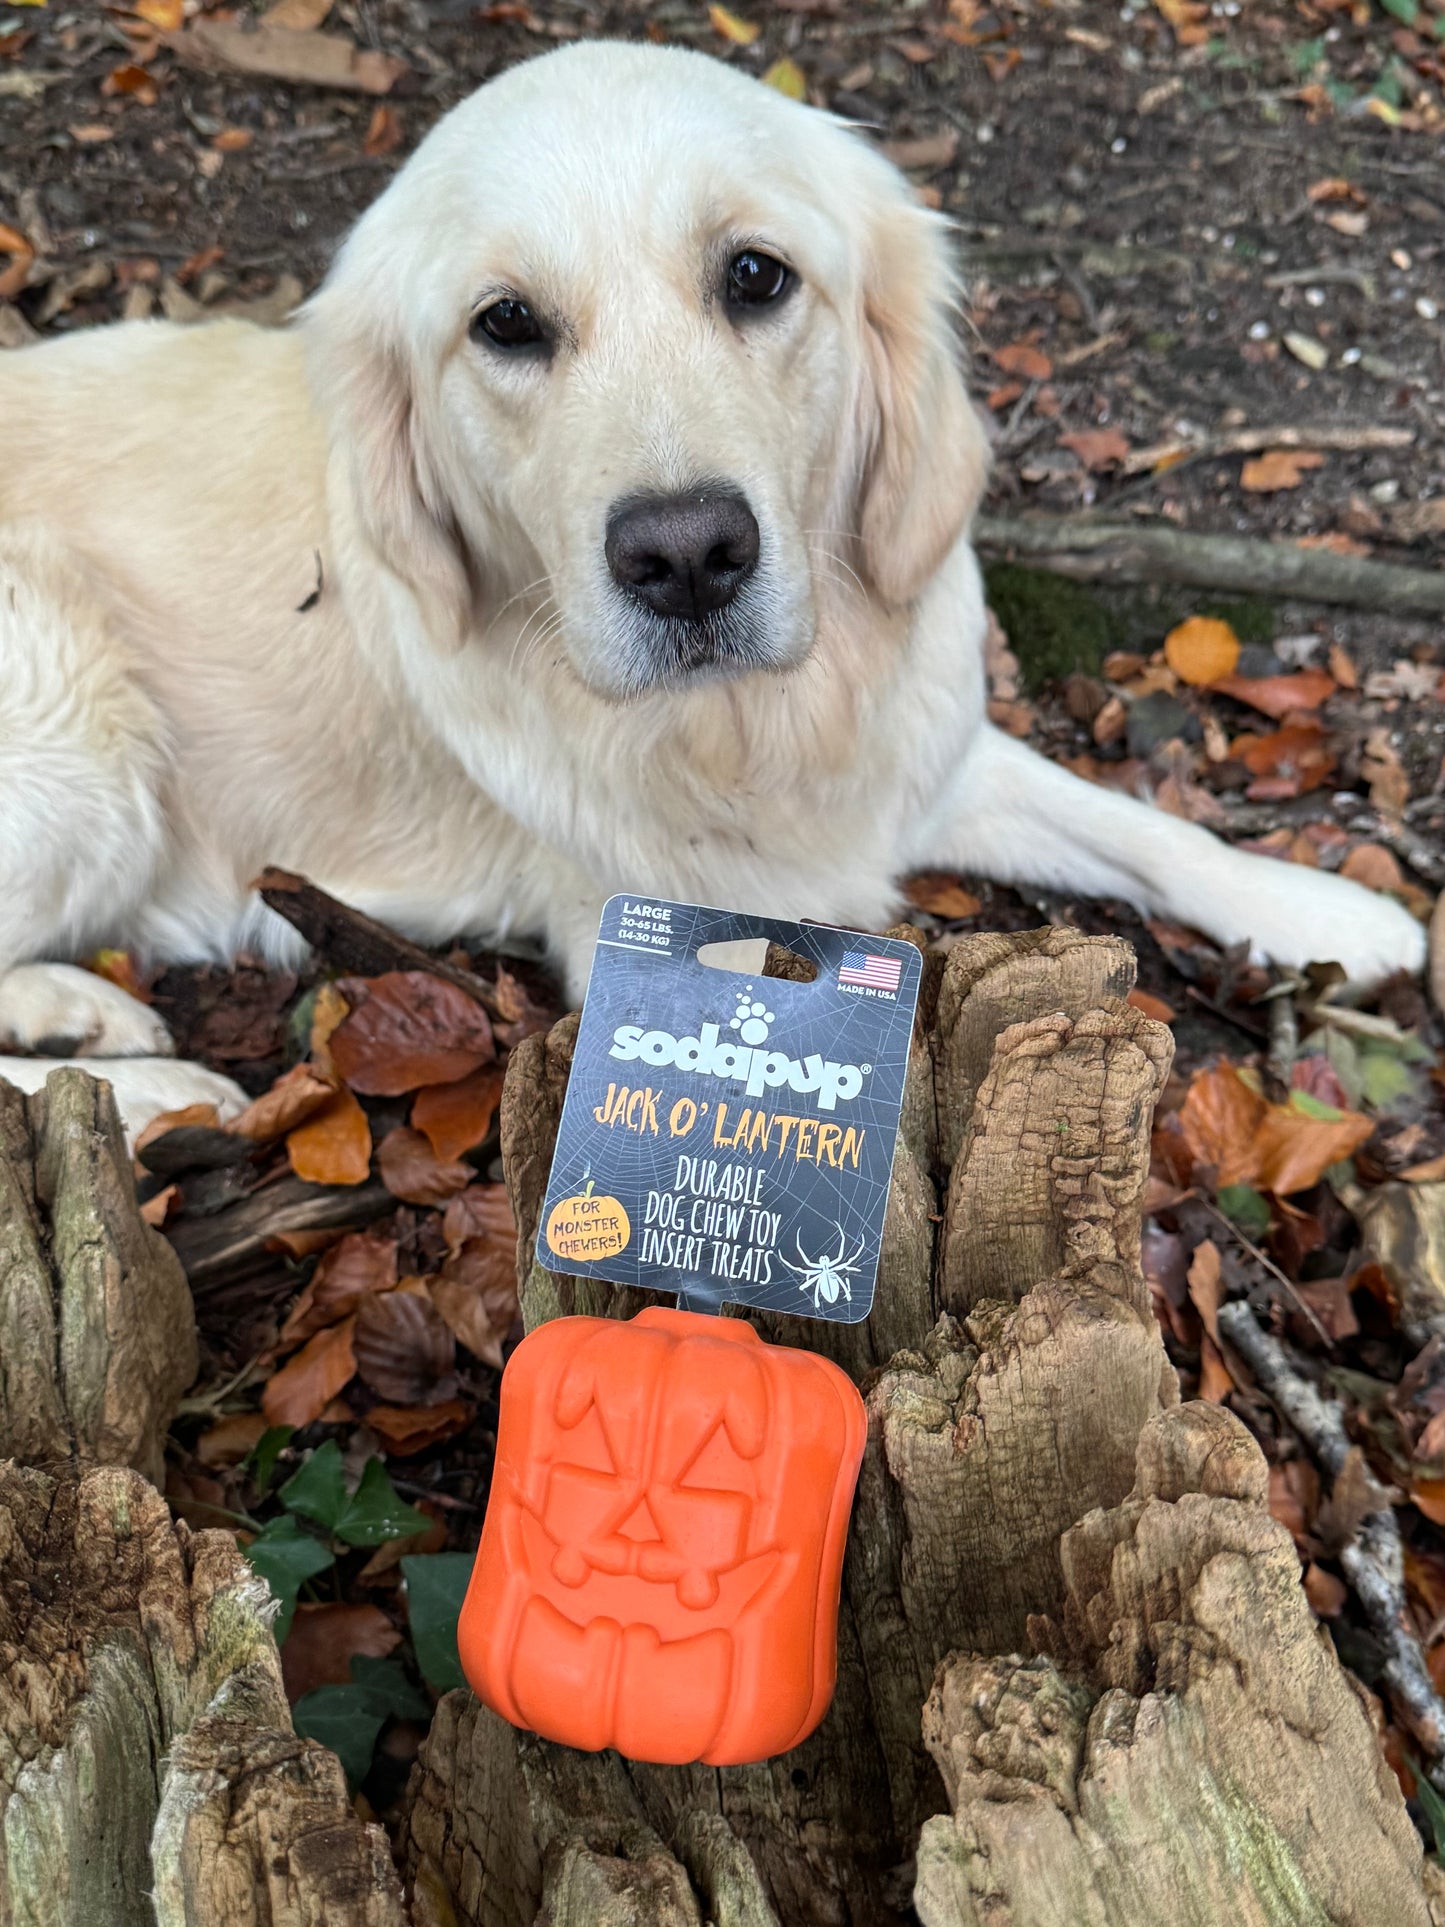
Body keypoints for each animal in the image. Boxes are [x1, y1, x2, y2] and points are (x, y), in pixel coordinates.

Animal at [0, 41, 1425, 1125]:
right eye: (505, 322)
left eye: (754, 275)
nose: (686, 557)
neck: (754, 729)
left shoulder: (914, 763)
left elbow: (1143, 825)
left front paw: (1332, 909)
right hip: (79, 722)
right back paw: (149, 1083)